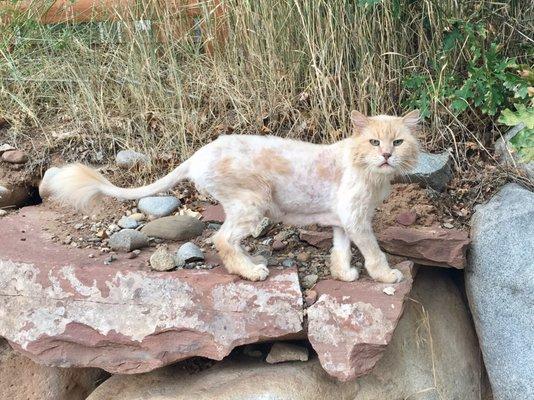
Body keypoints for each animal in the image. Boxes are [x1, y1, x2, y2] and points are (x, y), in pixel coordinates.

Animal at [39, 109, 420, 282]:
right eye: (374, 142)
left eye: (398, 142)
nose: (387, 155)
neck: (366, 167)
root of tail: (199, 153)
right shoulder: (356, 219)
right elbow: (374, 252)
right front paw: (387, 276)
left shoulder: (342, 219)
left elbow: (340, 250)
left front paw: (345, 275)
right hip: (254, 202)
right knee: (222, 240)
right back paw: (252, 271)